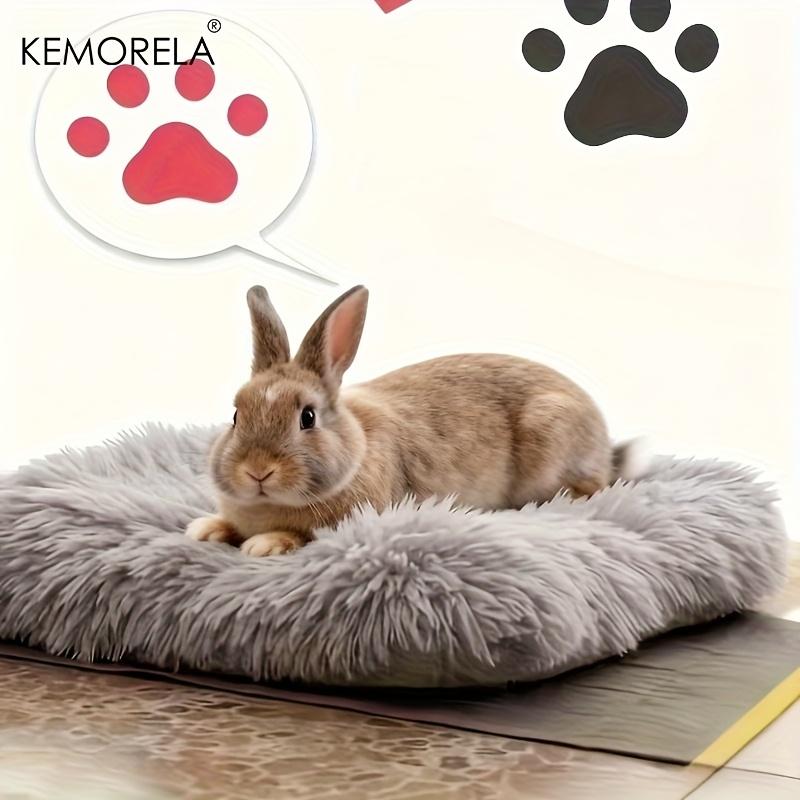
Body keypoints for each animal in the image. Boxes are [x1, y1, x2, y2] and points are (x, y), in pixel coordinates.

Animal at [186, 285, 641, 557]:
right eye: (236, 414)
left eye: (308, 417)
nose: (257, 471)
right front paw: (204, 529)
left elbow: (304, 535)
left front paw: (263, 544)